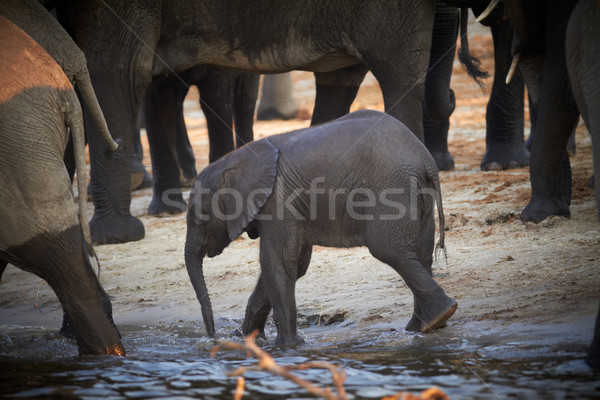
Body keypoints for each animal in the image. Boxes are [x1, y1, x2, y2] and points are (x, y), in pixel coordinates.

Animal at [185, 109, 458, 344]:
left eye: (198, 218)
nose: (213, 338)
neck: (234, 160)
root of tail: (425, 159)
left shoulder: (277, 200)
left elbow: (277, 260)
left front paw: (286, 347)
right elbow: (293, 264)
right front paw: (247, 339)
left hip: (391, 189)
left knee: (391, 251)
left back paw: (438, 317)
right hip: (419, 194)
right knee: (421, 254)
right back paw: (423, 326)